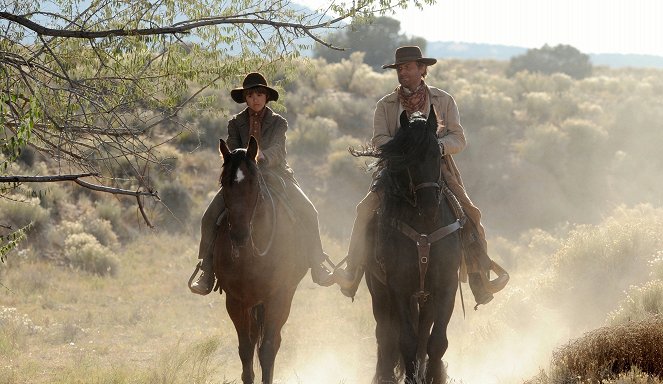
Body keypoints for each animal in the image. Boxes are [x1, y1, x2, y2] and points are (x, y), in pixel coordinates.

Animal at [213, 136, 308, 384]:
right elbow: (246, 349)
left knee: (273, 343)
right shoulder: (236, 301)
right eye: (223, 182)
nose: (238, 235)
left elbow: (267, 350)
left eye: (254, 182)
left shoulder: (277, 298)